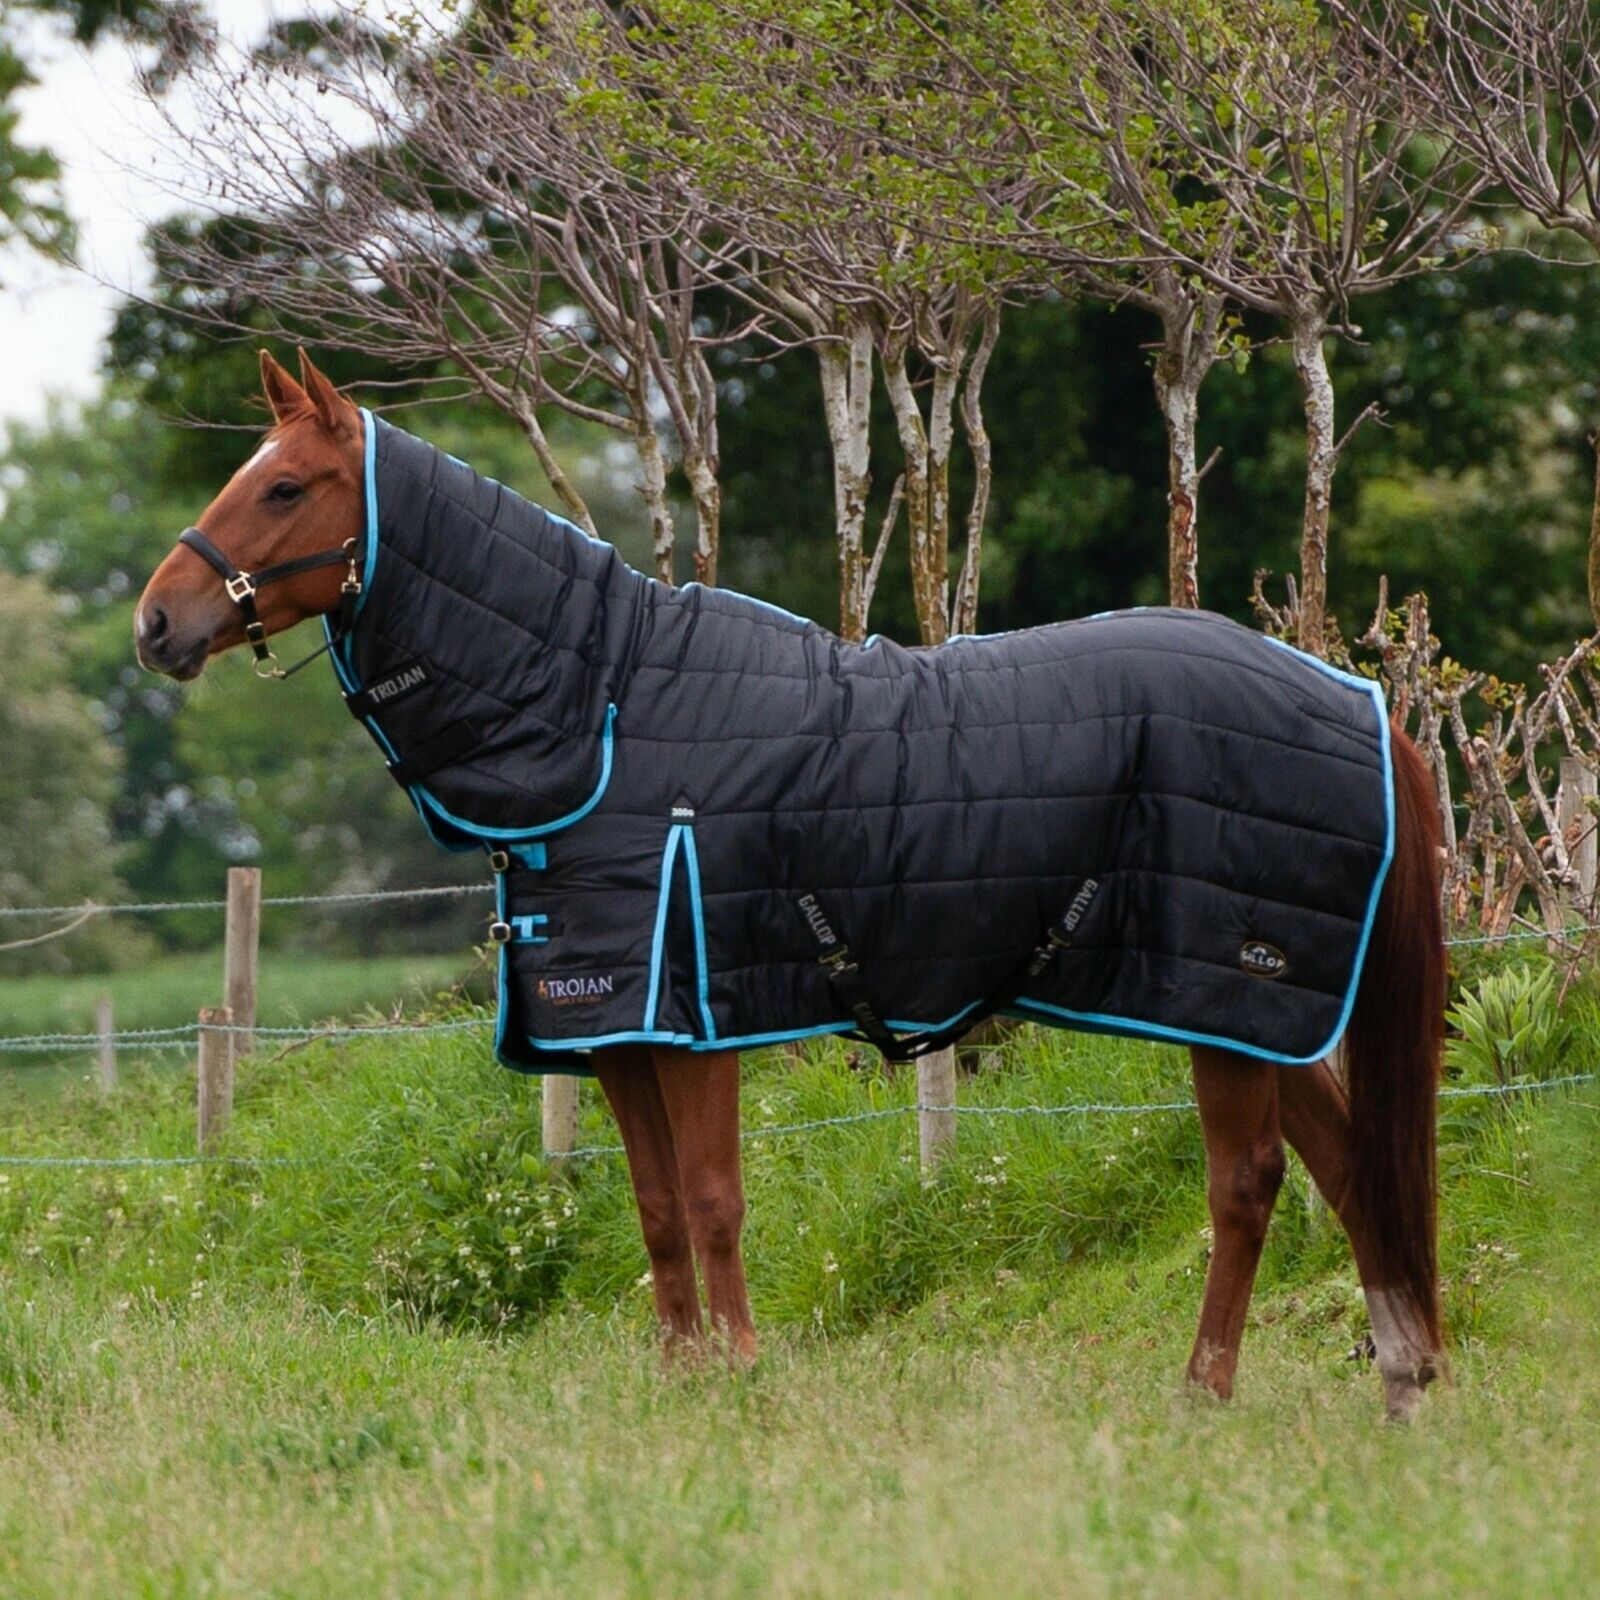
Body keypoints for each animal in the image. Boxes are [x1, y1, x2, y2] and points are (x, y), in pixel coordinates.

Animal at [135, 350, 1445, 1419]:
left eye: (284, 487)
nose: (156, 624)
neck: (607, 710)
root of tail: (1356, 706)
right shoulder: (618, 1028)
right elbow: (657, 1208)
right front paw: (683, 1379)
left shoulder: (695, 1017)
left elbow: (713, 1199)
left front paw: (741, 1374)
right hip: (1258, 1010)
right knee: (1348, 1166)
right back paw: (1400, 1375)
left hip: (1229, 995)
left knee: (1249, 1182)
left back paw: (1204, 1389)